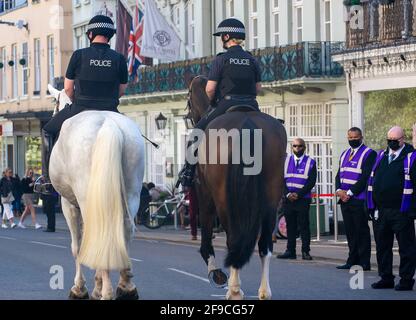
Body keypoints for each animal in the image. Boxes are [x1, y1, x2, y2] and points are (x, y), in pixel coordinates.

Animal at [46, 85, 145, 300]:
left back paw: (106, 290)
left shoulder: (69, 204)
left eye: (55, 104)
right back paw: (126, 286)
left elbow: (78, 246)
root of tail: (109, 125)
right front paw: (97, 284)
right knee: (124, 231)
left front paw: (80, 288)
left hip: (86, 197)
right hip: (131, 194)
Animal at [185, 75, 286, 300]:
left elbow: (206, 236)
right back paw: (264, 291)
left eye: (188, 99)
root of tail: (246, 122)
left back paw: (234, 289)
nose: (188, 117)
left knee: (233, 238)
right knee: (264, 244)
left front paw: (215, 273)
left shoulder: (203, 194)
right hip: (270, 200)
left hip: (224, 200)